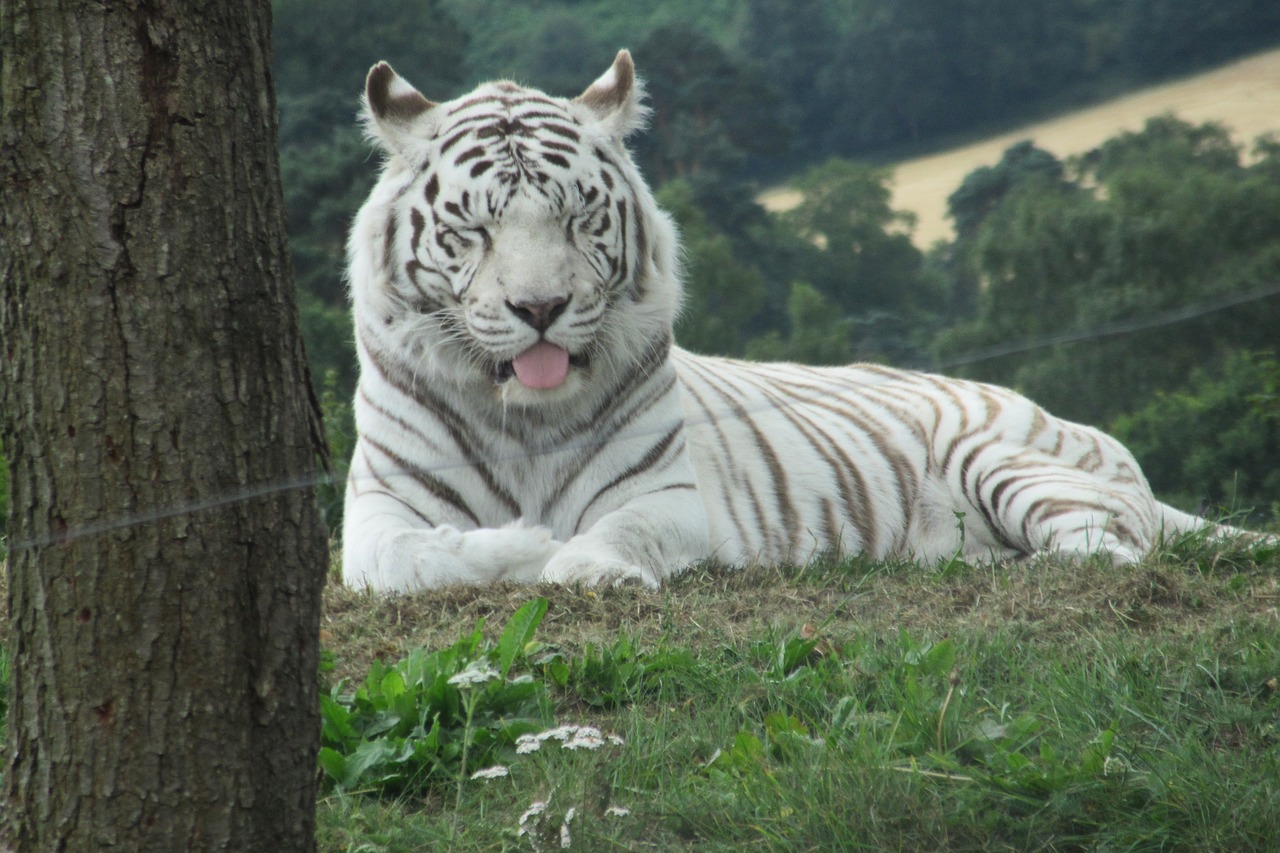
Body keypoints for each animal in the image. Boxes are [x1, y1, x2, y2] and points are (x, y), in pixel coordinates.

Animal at [345, 49, 1233, 589]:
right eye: (475, 228)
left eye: (577, 218)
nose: (540, 309)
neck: (524, 419)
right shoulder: (375, 513)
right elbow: (414, 558)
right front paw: (527, 544)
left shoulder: (669, 495)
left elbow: (619, 531)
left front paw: (581, 564)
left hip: (1007, 458)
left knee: (1110, 547)